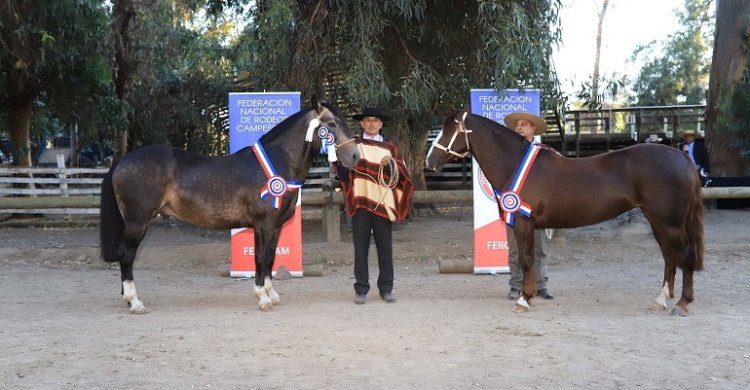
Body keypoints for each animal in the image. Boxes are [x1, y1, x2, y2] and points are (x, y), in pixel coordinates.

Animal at [100, 98, 362, 314]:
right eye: (331, 124)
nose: (355, 156)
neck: (276, 163)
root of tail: (122, 161)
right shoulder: (263, 225)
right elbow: (260, 257)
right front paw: (262, 297)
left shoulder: (276, 227)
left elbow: (270, 258)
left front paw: (272, 294)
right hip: (137, 222)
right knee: (126, 254)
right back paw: (135, 302)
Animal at [428, 108, 704, 316]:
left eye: (449, 130)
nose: (429, 161)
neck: (514, 163)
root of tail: (681, 156)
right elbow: (528, 259)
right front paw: (528, 296)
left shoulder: (523, 223)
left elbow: (526, 259)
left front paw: (524, 300)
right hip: (656, 219)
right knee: (669, 255)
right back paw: (661, 299)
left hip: (671, 222)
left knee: (684, 254)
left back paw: (682, 304)